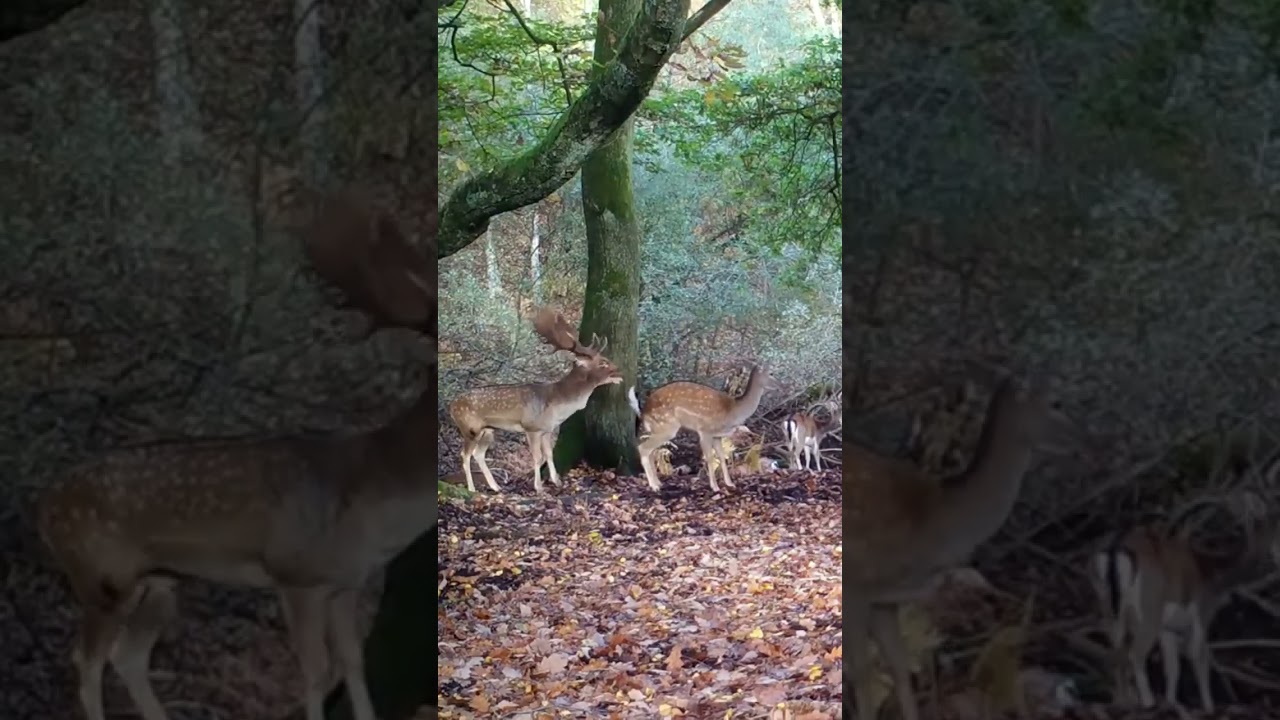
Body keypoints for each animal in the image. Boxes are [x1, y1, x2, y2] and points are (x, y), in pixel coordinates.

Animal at [37, 195, 436, 720]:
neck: (373, 487)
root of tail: (44, 506)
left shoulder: (348, 580)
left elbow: (353, 663)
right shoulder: (297, 572)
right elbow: (317, 671)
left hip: (160, 581)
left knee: (129, 655)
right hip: (100, 573)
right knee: (86, 661)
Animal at [447, 308, 623, 494]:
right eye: (603, 363)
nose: (619, 372)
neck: (558, 403)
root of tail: (452, 406)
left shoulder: (547, 429)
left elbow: (549, 454)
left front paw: (556, 481)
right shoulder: (532, 427)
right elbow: (537, 457)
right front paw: (538, 487)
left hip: (488, 429)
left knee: (479, 454)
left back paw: (496, 486)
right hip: (470, 427)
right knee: (465, 455)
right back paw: (472, 489)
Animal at [628, 365, 777, 493]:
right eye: (771, 373)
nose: (779, 385)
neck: (734, 411)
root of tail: (643, 411)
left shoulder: (717, 435)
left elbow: (722, 457)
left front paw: (730, 483)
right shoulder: (705, 430)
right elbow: (709, 457)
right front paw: (715, 487)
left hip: (657, 428)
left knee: (652, 451)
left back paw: (658, 483)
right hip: (666, 426)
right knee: (643, 448)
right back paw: (653, 486)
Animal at [844, 374, 1079, 720]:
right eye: (1056, 402)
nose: (1086, 441)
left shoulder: (886, 599)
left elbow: (899, 666)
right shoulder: (857, 585)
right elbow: (860, 671)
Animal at [1089, 475, 1280, 711]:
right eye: (1278, 526)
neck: (1214, 575)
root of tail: (1115, 551)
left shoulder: (1168, 628)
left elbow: (1173, 668)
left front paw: (1173, 703)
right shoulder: (1201, 615)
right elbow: (1199, 661)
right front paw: (1208, 708)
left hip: (1107, 606)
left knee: (1114, 651)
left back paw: (1123, 701)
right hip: (1148, 609)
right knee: (1136, 653)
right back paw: (1147, 702)